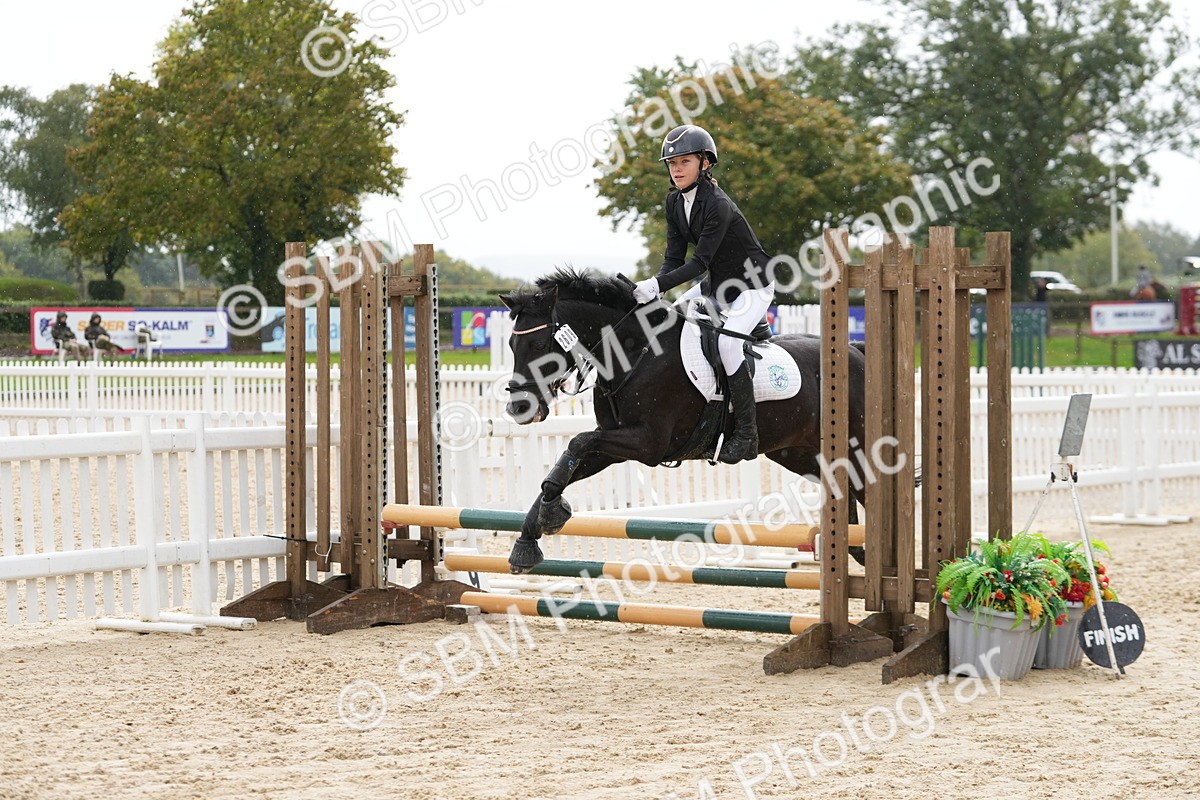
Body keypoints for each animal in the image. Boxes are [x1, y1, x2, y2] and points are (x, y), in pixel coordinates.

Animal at [498, 268, 869, 574]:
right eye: (511, 344)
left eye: (538, 344)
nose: (519, 408)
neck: (636, 352)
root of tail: (854, 350)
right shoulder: (613, 444)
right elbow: (566, 463)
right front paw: (531, 535)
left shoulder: (648, 443)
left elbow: (578, 441)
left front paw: (550, 514)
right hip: (804, 455)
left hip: (858, 450)